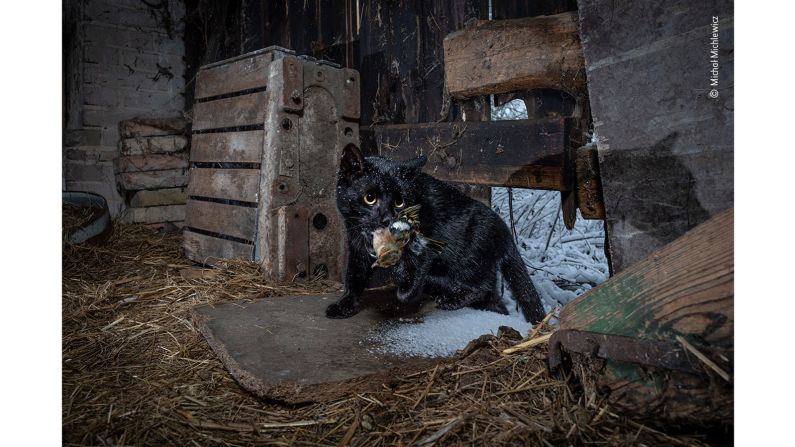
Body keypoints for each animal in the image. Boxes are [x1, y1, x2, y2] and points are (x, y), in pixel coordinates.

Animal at [324, 145, 548, 324]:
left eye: (399, 202)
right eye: (369, 198)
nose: (388, 219)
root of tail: (504, 230)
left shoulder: (427, 238)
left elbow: (413, 269)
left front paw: (405, 289)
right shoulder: (356, 245)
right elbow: (354, 277)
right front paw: (345, 305)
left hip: (469, 261)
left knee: (480, 287)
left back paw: (450, 299)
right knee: (495, 301)